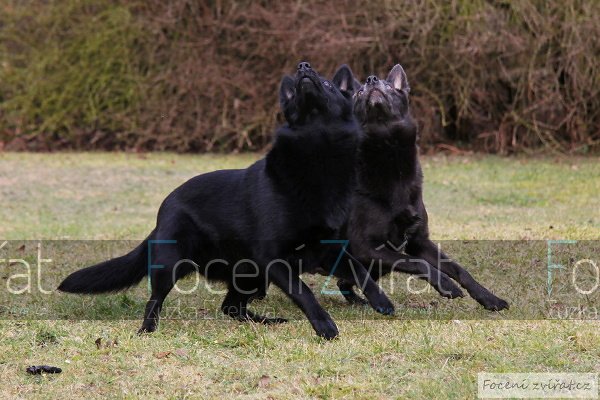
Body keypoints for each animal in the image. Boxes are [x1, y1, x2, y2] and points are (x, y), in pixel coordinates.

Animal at [58, 61, 394, 339]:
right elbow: (303, 292)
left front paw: (382, 302)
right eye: (299, 89)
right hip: (173, 264)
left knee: (232, 307)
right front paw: (325, 326)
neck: (316, 155)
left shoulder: (330, 248)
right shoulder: (275, 258)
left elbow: (362, 271)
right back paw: (147, 330)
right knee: (156, 300)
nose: (303, 67)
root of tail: (164, 209)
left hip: (250, 275)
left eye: (326, 84)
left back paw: (266, 321)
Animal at [336, 65, 509, 312]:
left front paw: (488, 298)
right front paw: (446, 285)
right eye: (359, 93)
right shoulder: (366, 247)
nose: (371, 80)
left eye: (390, 86)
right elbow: (417, 263)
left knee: (345, 281)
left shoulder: (419, 242)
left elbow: (458, 268)